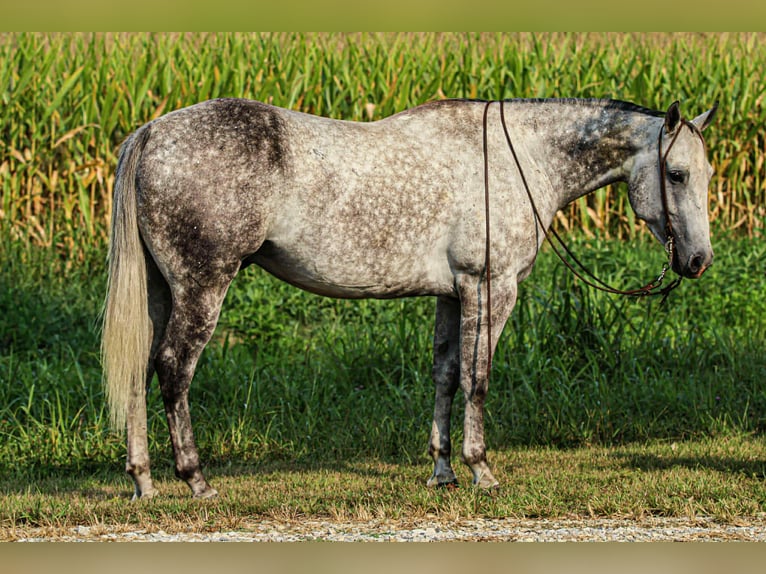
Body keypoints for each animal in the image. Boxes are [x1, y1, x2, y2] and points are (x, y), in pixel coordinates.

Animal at [102, 97, 717, 499]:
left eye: (708, 174)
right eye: (676, 173)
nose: (697, 261)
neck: (520, 158)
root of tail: (151, 132)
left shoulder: (453, 294)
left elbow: (445, 376)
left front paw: (443, 471)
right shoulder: (491, 288)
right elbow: (478, 379)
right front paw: (481, 469)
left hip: (161, 292)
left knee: (138, 369)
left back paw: (143, 481)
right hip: (203, 287)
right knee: (173, 370)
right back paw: (195, 479)